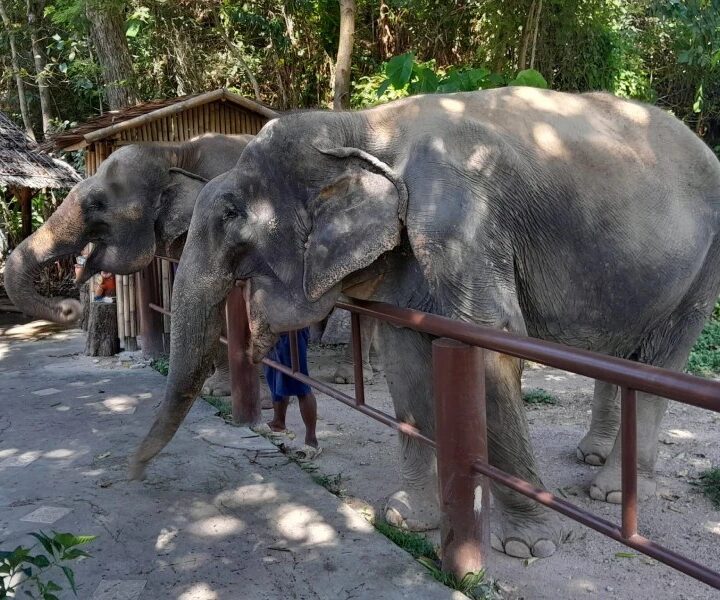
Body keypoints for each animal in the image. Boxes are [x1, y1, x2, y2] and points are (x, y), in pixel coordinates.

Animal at [130, 87, 720, 559]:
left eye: (231, 214)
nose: (128, 471)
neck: (360, 126)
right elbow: (404, 355)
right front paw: (406, 519)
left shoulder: (459, 218)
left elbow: (492, 339)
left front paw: (527, 548)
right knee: (620, 352)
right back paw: (593, 460)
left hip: (703, 268)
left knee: (662, 359)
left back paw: (609, 493)